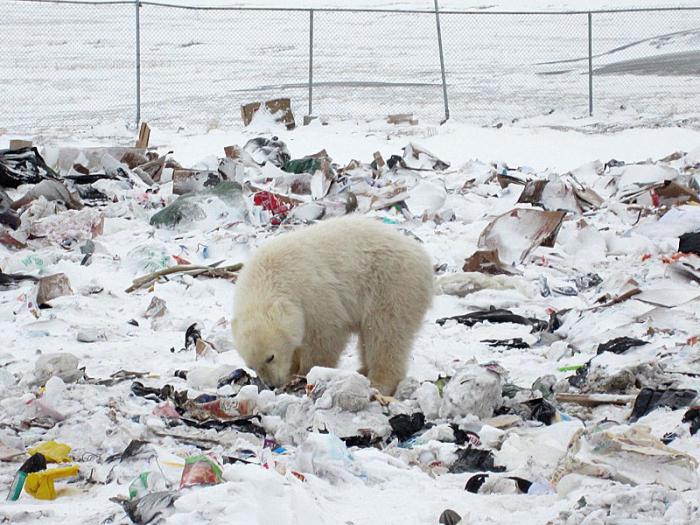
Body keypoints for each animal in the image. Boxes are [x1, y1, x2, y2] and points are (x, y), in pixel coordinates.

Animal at [232, 214, 434, 392]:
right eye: (251, 365)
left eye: (270, 357)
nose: (272, 384)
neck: (267, 277)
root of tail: (424, 259)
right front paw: (293, 370)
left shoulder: (313, 293)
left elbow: (325, 336)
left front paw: (306, 372)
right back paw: (362, 370)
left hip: (390, 285)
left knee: (385, 333)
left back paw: (379, 382)